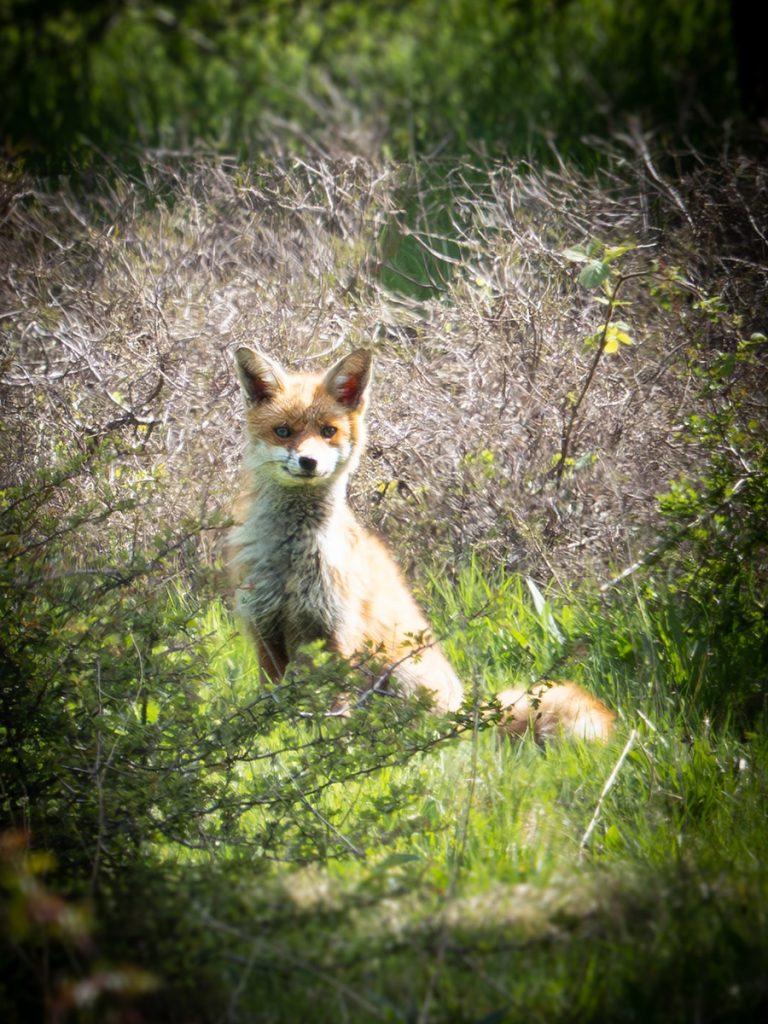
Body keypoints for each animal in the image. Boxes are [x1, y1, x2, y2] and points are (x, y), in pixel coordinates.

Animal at [228, 346, 615, 742]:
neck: (291, 559)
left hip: (397, 670)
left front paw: (331, 743)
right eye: (283, 432)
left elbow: (335, 709)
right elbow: (271, 703)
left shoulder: (336, 632)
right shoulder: (265, 629)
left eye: (328, 431)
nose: (308, 461)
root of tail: (464, 714)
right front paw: (271, 738)